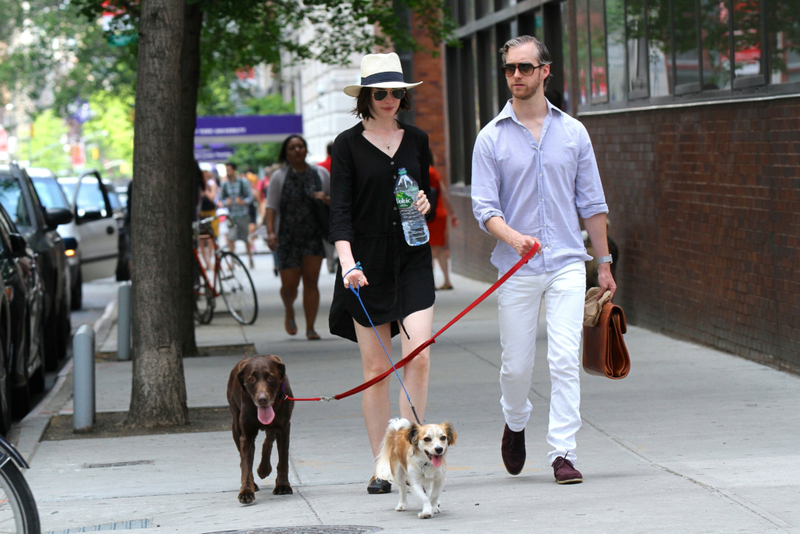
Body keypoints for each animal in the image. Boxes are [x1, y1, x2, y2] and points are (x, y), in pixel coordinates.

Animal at [227, 358, 296, 504]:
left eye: (270, 377)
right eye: (251, 379)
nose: (262, 399)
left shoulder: (283, 428)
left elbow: (283, 459)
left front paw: (282, 485)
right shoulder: (246, 435)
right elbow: (246, 465)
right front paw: (246, 491)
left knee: (268, 439)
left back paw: (264, 469)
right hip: (236, 425)